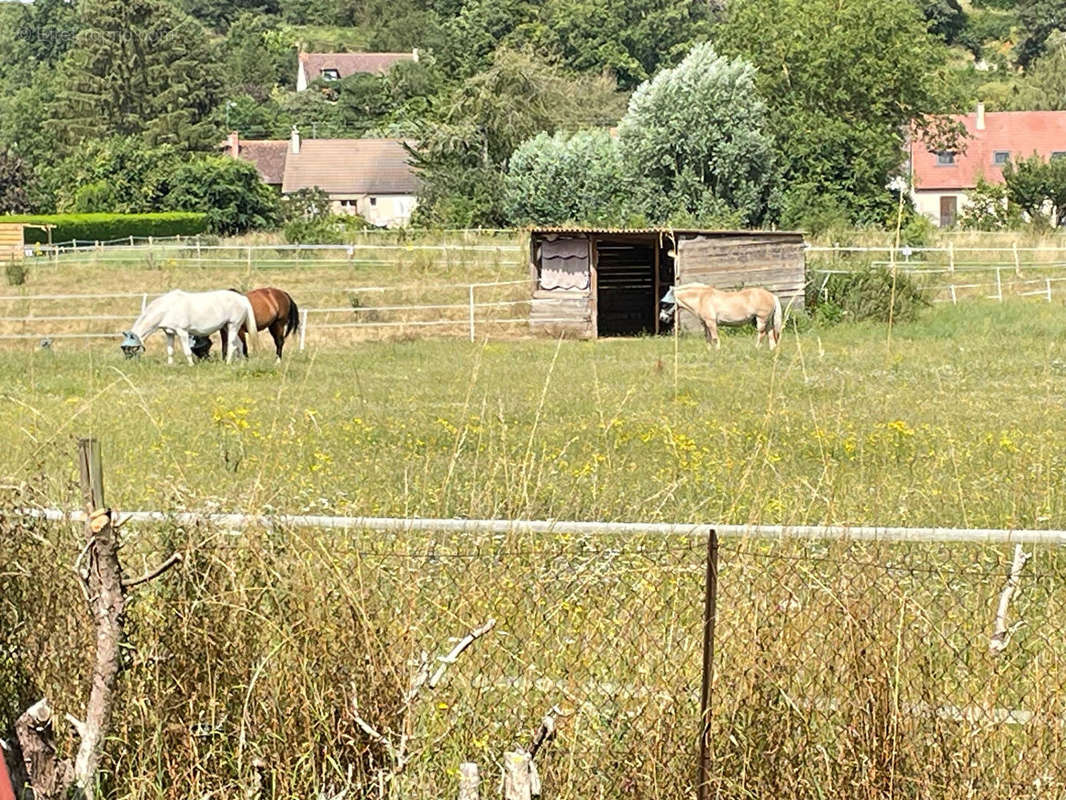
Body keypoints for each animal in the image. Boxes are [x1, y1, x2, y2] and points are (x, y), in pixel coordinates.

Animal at [119, 288, 257, 366]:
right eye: (123, 348)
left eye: (130, 348)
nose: (128, 363)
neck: (168, 307)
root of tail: (242, 298)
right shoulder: (169, 333)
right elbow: (170, 351)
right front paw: (170, 365)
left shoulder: (183, 332)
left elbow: (187, 351)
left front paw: (191, 365)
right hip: (227, 327)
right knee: (239, 344)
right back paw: (241, 364)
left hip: (233, 326)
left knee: (232, 345)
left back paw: (228, 363)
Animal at [656, 285, 784, 354]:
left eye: (665, 304)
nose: (662, 318)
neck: (701, 298)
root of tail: (772, 295)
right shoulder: (705, 324)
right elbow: (707, 338)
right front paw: (709, 352)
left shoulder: (711, 323)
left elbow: (715, 338)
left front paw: (717, 352)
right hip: (768, 322)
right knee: (771, 335)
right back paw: (772, 350)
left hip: (761, 320)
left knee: (761, 334)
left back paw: (756, 349)